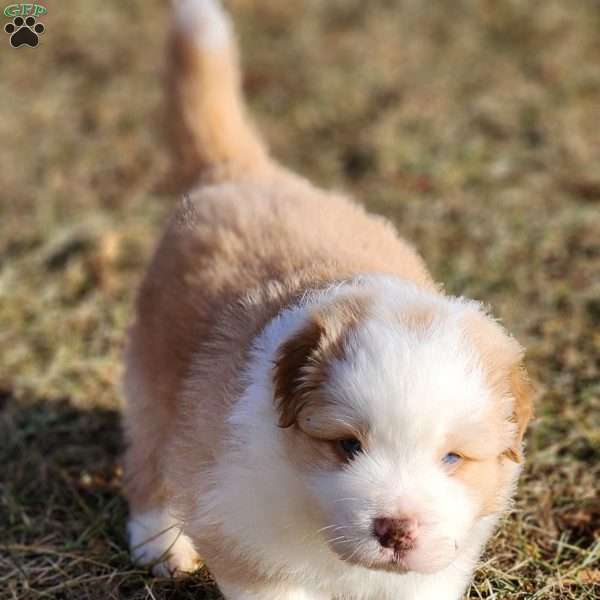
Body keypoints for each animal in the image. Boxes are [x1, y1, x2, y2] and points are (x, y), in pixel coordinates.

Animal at [123, 2, 536, 596]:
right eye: (348, 446)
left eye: (452, 457)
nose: (395, 529)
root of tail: (243, 174)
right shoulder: (249, 542)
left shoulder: (431, 573)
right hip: (156, 381)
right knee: (149, 463)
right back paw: (159, 543)